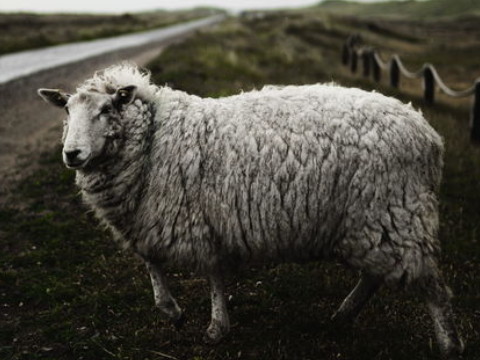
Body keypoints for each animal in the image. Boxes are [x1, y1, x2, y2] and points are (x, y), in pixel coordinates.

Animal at [38, 64, 464, 358]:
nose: (72, 154)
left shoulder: (192, 218)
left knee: (434, 288)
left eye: (107, 109)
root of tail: (428, 134)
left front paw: (215, 328)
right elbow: (151, 262)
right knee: (376, 275)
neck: (153, 140)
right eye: (66, 112)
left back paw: (449, 345)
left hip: (395, 212)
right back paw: (342, 315)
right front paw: (172, 312)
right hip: (375, 220)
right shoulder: (153, 216)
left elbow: (210, 274)